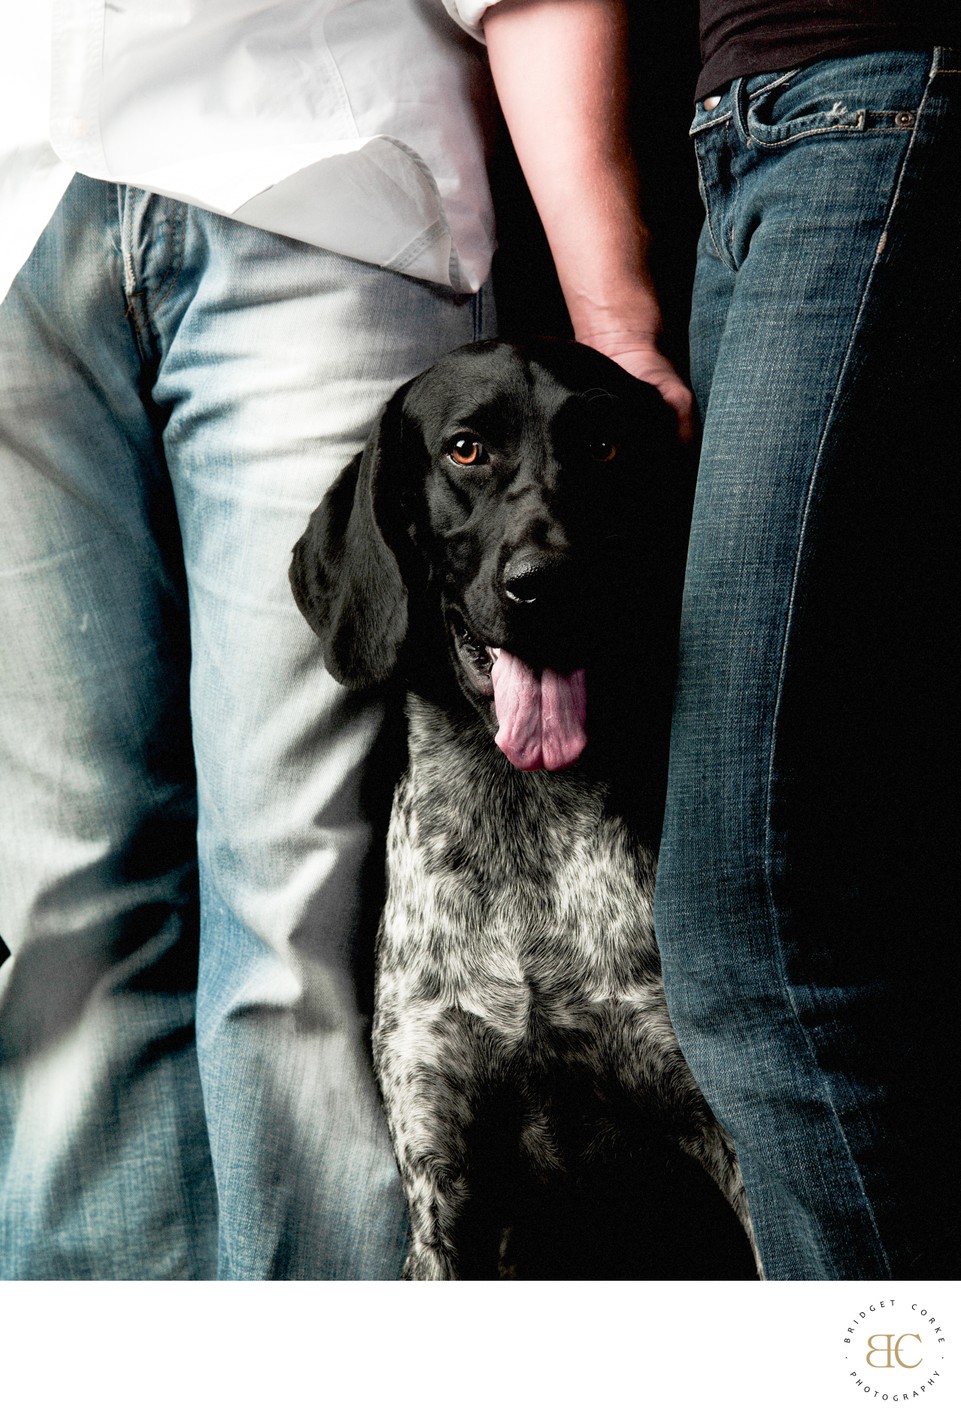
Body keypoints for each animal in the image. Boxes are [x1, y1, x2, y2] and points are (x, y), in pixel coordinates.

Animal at [290, 337, 754, 1280]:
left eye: (605, 446)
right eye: (466, 449)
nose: (548, 583)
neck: (521, 821)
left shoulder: (715, 1139)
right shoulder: (442, 1183)